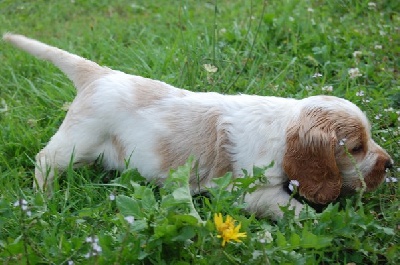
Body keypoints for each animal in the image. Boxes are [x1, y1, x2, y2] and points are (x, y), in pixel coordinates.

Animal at [4, 33, 394, 219]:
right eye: (355, 148)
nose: (390, 165)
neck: (283, 129)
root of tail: (99, 74)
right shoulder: (252, 192)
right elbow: (294, 210)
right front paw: (320, 221)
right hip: (75, 143)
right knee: (44, 161)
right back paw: (42, 200)